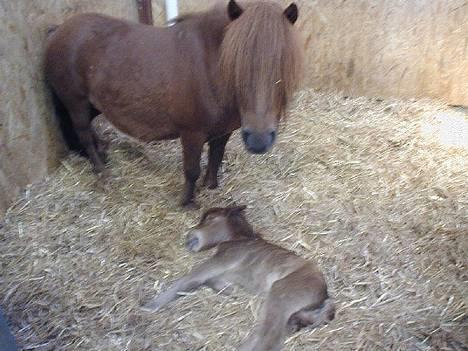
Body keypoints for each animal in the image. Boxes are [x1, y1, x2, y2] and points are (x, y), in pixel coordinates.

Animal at [44, 0, 304, 206]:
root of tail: (60, 28)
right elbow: (191, 170)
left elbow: (216, 157)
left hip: (94, 105)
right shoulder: (191, 133)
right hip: (76, 102)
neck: (209, 68)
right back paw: (101, 169)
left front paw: (210, 185)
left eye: (283, 64)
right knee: (83, 133)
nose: (259, 140)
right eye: (236, 62)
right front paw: (187, 202)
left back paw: (101, 151)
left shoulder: (223, 132)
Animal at [144, 206, 336, 351]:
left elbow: (186, 280)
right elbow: (208, 282)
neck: (238, 239)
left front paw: (149, 305)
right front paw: (230, 291)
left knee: (269, 339)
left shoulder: (220, 261)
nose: (189, 236)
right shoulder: (224, 273)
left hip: (281, 298)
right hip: (292, 313)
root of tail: (324, 295)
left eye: (210, 218)